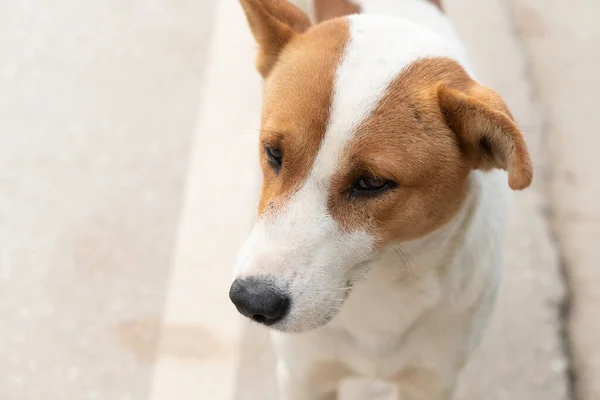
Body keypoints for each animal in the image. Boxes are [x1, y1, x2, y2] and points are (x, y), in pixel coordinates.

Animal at [230, 0, 536, 396]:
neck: (385, 280)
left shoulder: (433, 381)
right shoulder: (303, 377)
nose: (252, 301)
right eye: (273, 153)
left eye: (373, 182)